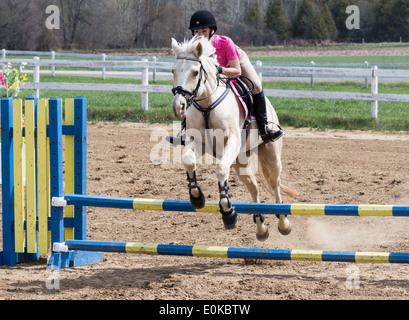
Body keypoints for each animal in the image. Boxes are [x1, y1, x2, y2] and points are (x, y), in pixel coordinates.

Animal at [170, 37, 294, 241]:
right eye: (173, 70)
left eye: (195, 72)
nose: (178, 107)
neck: (207, 104)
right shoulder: (197, 141)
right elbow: (188, 161)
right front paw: (196, 197)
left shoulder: (232, 142)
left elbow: (221, 171)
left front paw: (228, 212)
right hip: (239, 161)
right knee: (254, 188)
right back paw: (261, 228)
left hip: (270, 154)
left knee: (274, 184)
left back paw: (284, 223)